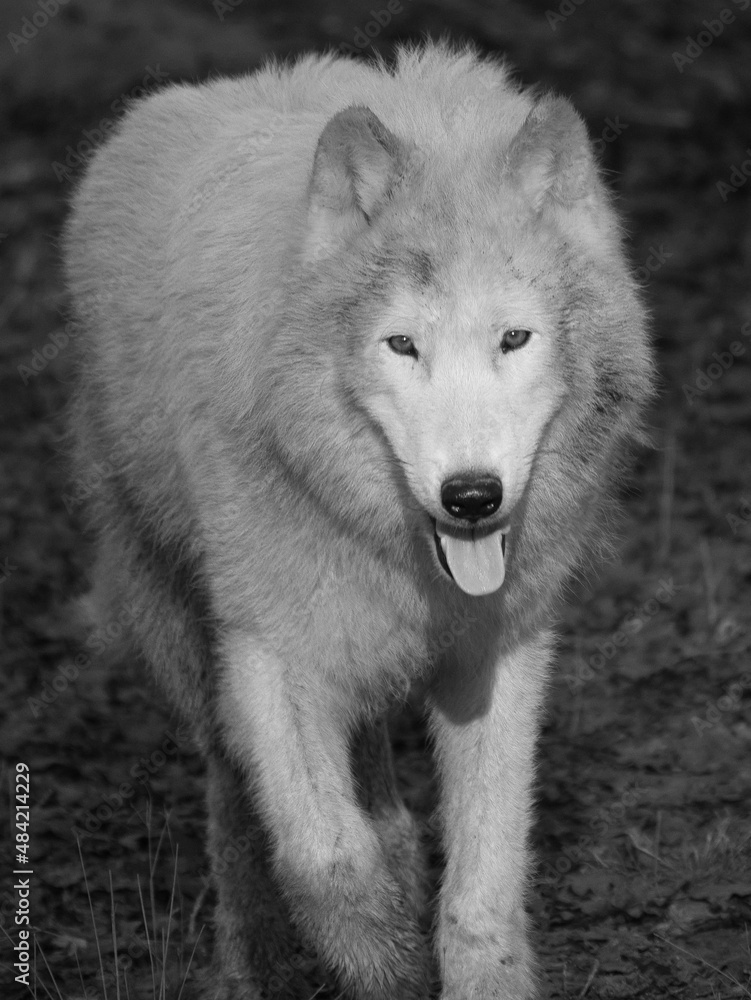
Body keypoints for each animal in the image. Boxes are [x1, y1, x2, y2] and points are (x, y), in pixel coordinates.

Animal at [64, 42, 653, 1000]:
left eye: (514, 339)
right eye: (401, 345)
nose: (471, 496)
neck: (403, 559)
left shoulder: (499, 655)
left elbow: (482, 890)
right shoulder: (273, 658)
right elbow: (327, 862)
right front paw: (388, 966)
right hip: (188, 635)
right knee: (235, 805)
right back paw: (251, 966)